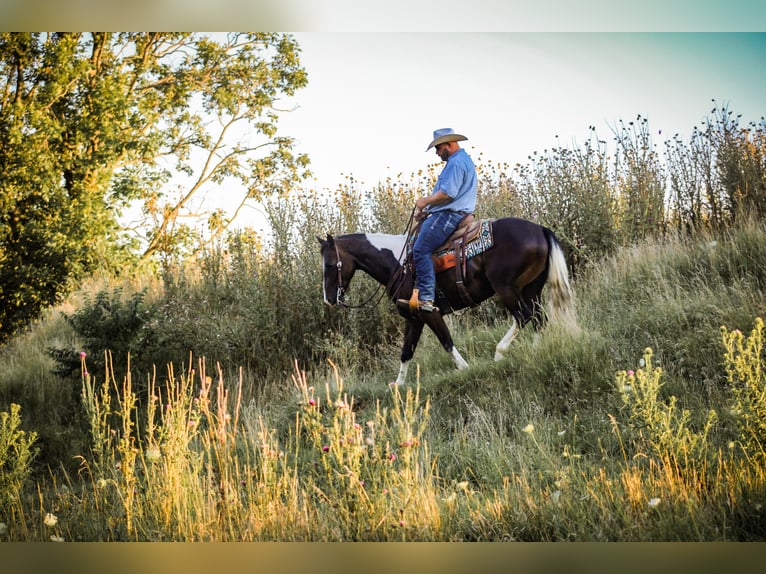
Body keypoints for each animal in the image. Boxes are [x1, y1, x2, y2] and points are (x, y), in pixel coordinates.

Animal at [318, 216, 576, 388]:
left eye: (330, 264)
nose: (329, 299)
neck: (398, 264)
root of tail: (540, 229)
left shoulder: (429, 313)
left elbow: (446, 341)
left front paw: (465, 369)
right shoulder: (414, 318)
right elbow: (406, 351)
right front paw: (398, 385)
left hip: (507, 288)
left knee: (524, 317)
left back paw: (500, 352)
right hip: (531, 290)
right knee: (538, 319)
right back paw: (535, 351)